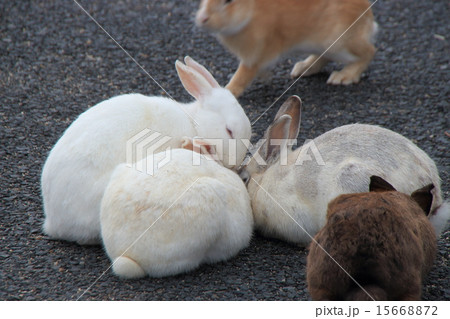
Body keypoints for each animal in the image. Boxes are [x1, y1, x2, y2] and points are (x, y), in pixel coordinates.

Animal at [197, 0, 376, 97]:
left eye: (228, 1)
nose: (202, 19)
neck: (251, 12)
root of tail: (368, 18)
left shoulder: (256, 54)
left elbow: (242, 75)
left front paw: (228, 90)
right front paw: (265, 77)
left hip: (339, 43)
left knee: (368, 52)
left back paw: (344, 76)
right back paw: (303, 68)